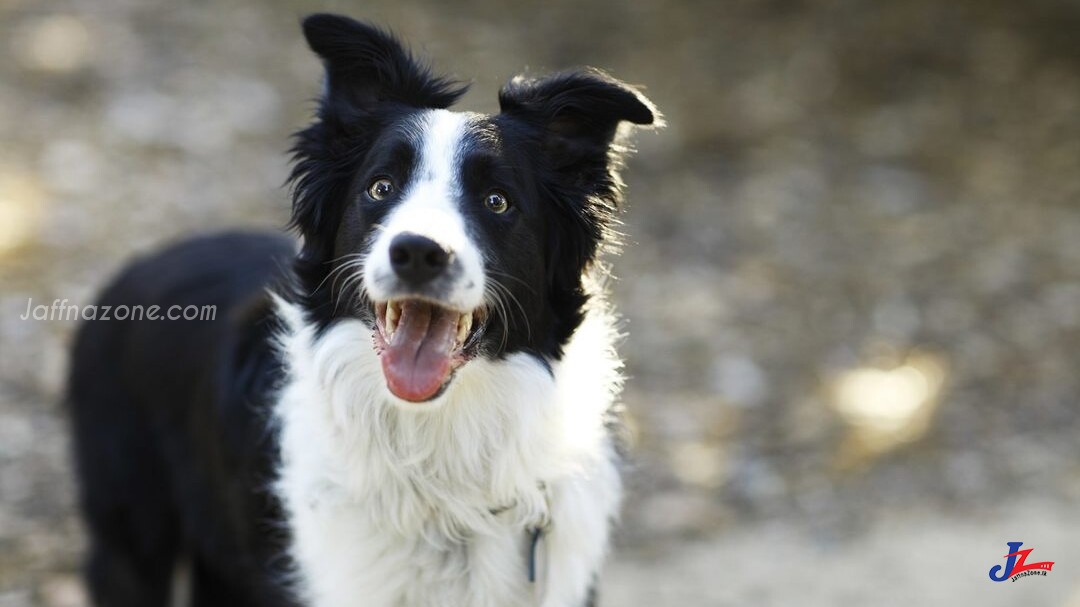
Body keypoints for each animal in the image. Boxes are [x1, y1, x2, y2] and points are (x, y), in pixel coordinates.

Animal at [69, 14, 656, 604]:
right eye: (380, 187)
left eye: (497, 201)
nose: (417, 252)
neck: (439, 467)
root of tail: (140, 264)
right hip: (132, 535)